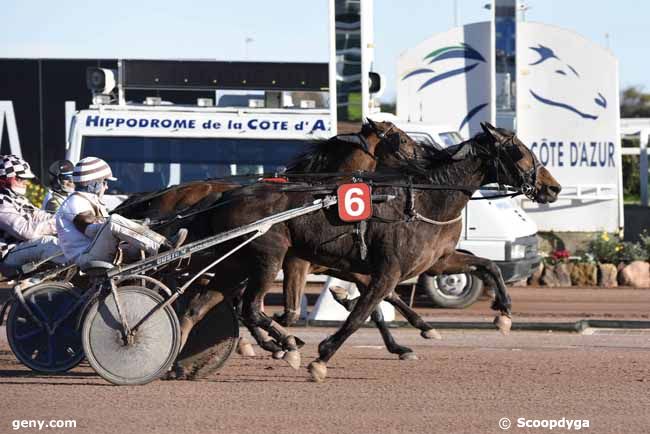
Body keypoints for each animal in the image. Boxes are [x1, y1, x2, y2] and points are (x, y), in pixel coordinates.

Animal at [165, 120, 560, 382]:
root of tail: (227, 196)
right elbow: (361, 312)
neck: (423, 201)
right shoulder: (385, 270)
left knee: (199, 306)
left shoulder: (435, 261)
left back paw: (175, 360)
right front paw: (321, 357)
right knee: (249, 308)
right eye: (519, 151)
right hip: (266, 258)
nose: (552, 187)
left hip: (235, 263)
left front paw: (503, 313)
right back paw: (286, 345)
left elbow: (487, 265)